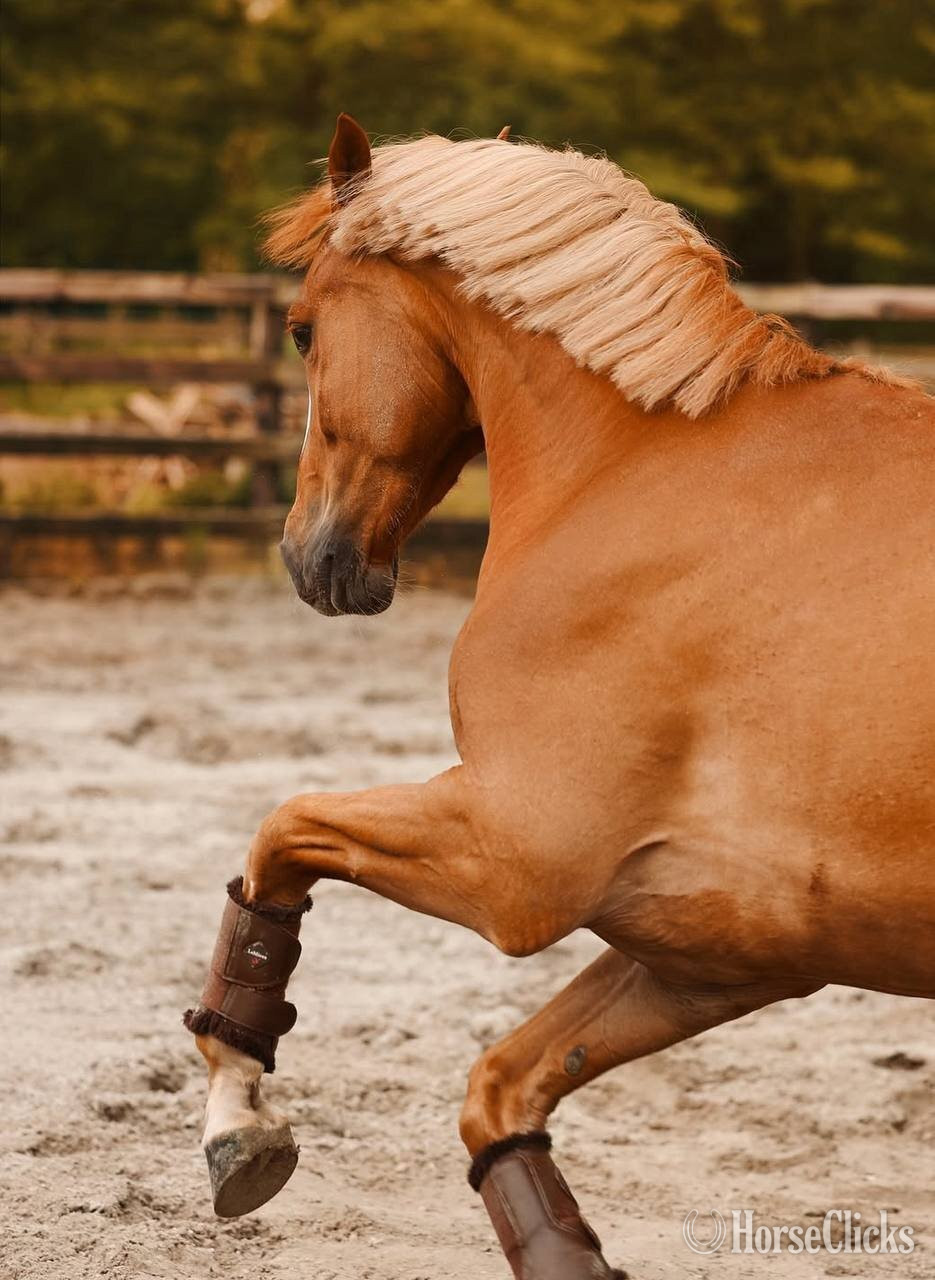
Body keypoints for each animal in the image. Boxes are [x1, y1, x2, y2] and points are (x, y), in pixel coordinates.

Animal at [185, 114, 935, 1279]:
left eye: (303, 332)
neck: (633, 474)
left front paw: (238, 1118)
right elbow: (500, 1094)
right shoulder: (714, 950)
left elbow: (281, 834)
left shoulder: (514, 862)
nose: (310, 557)